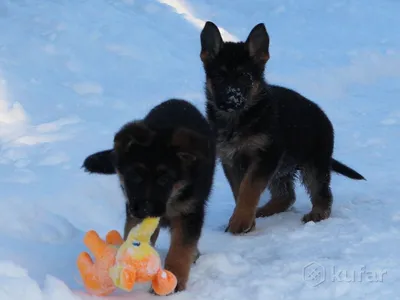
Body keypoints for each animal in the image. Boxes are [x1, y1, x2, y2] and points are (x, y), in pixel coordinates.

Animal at [81, 99, 216, 292]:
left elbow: (181, 248)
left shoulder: (190, 211)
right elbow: (132, 233)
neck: (171, 198)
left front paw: (174, 280)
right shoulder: (133, 210)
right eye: (135, 176)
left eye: (165, 179)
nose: (145, 209)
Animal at [200, 22, 366, 236]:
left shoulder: (265, 155)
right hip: (281, 168)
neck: (238, 120)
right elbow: (240, 191)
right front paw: (246, 220)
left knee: (322, 193)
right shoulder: (231, 160)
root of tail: (323, 116)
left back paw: (317, 214)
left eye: (245, 77)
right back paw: (262, 211)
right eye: (219, 77)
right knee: (286, 196)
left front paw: (241, 222)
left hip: (314, 164)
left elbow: (249, 188)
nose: (230, 100)